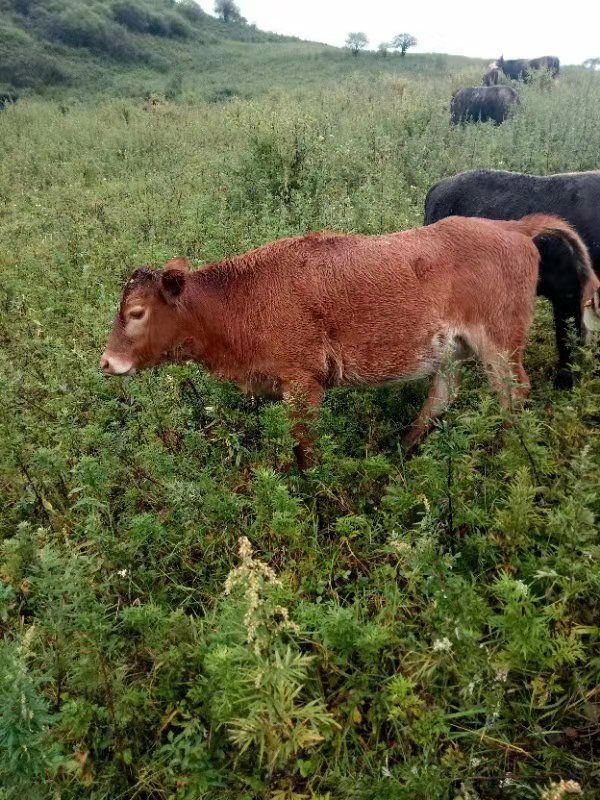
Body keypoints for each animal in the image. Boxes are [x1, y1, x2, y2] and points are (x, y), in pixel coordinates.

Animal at [98, 216, 592, 466]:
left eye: (136, 312)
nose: (106, 362)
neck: (241, 298)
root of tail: (514, 227)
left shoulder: (303, 385)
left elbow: (305, 450)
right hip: (453, 351)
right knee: (442, 394)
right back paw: (404, 448)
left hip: (499, 347)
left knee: (514, 394)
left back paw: (502, 452)